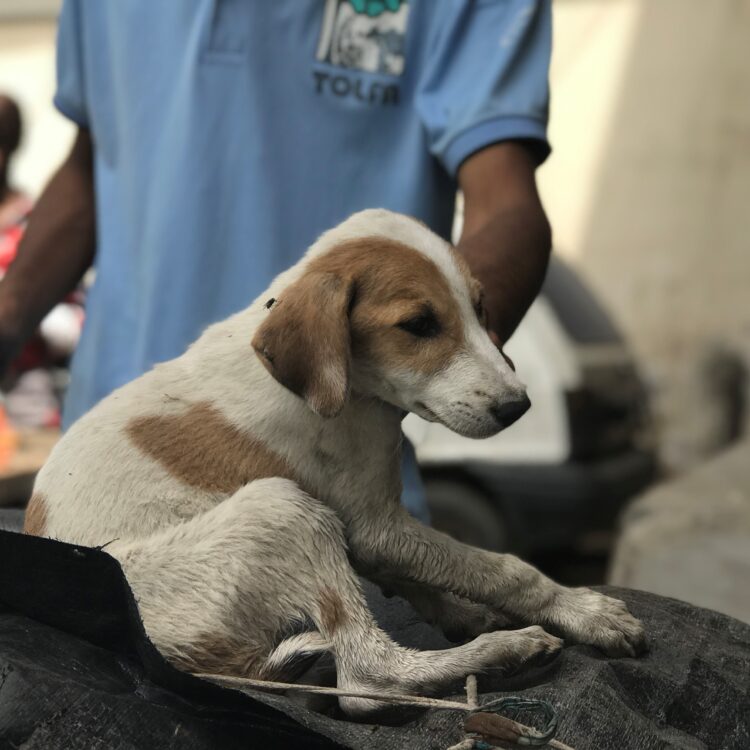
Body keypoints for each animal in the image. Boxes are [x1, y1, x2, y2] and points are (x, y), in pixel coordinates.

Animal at [25, 210, 648, 716]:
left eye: (481, 308)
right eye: (419, 325)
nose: (519, 407)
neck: (342, 385)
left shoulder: (369, 521)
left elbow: (423, 573)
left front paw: (461, 611)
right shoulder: (376, 526)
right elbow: (504, 568)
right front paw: (584, 611)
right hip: (281, 508)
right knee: (367, 682)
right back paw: (504, 652)